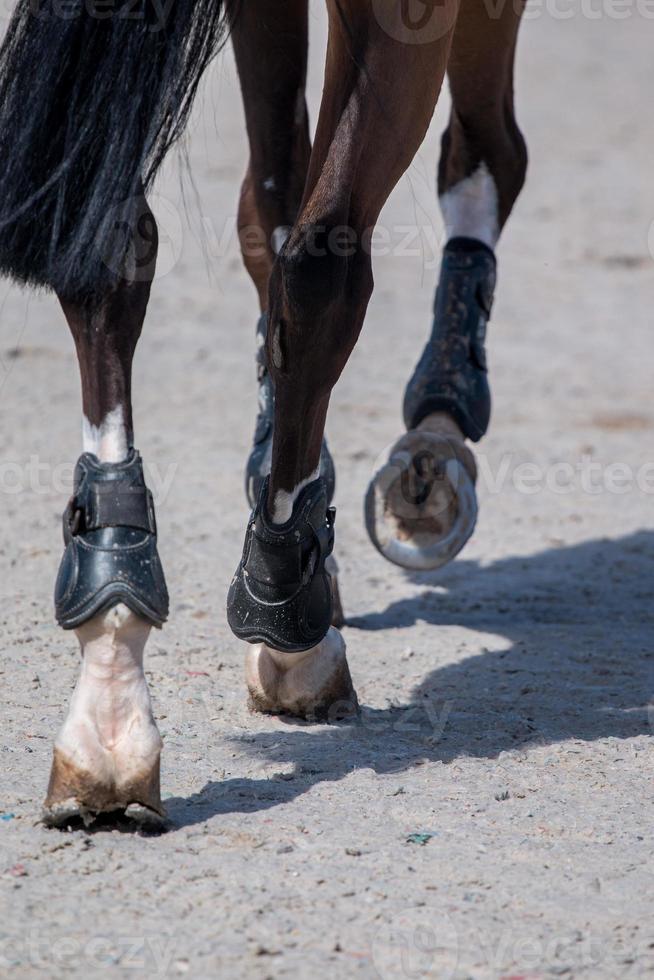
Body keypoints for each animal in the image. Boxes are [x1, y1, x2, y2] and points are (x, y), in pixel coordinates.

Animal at [0, 0, 528, 828]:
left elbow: (271, 203)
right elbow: (478, 153)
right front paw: (436, 431)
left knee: (109, 234)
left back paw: (110, 692)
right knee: (330, 259)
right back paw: (290, 630)